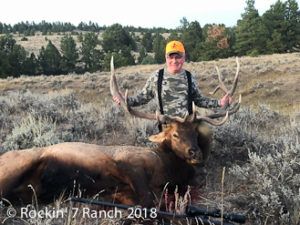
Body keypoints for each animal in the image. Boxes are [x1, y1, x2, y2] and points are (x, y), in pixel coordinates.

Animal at [0, 57, 239, 208]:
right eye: (175, 135)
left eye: (195, 133)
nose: (194, 153)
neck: (167, 168)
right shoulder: (129, 163)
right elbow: (148, 199)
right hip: (14, 167)